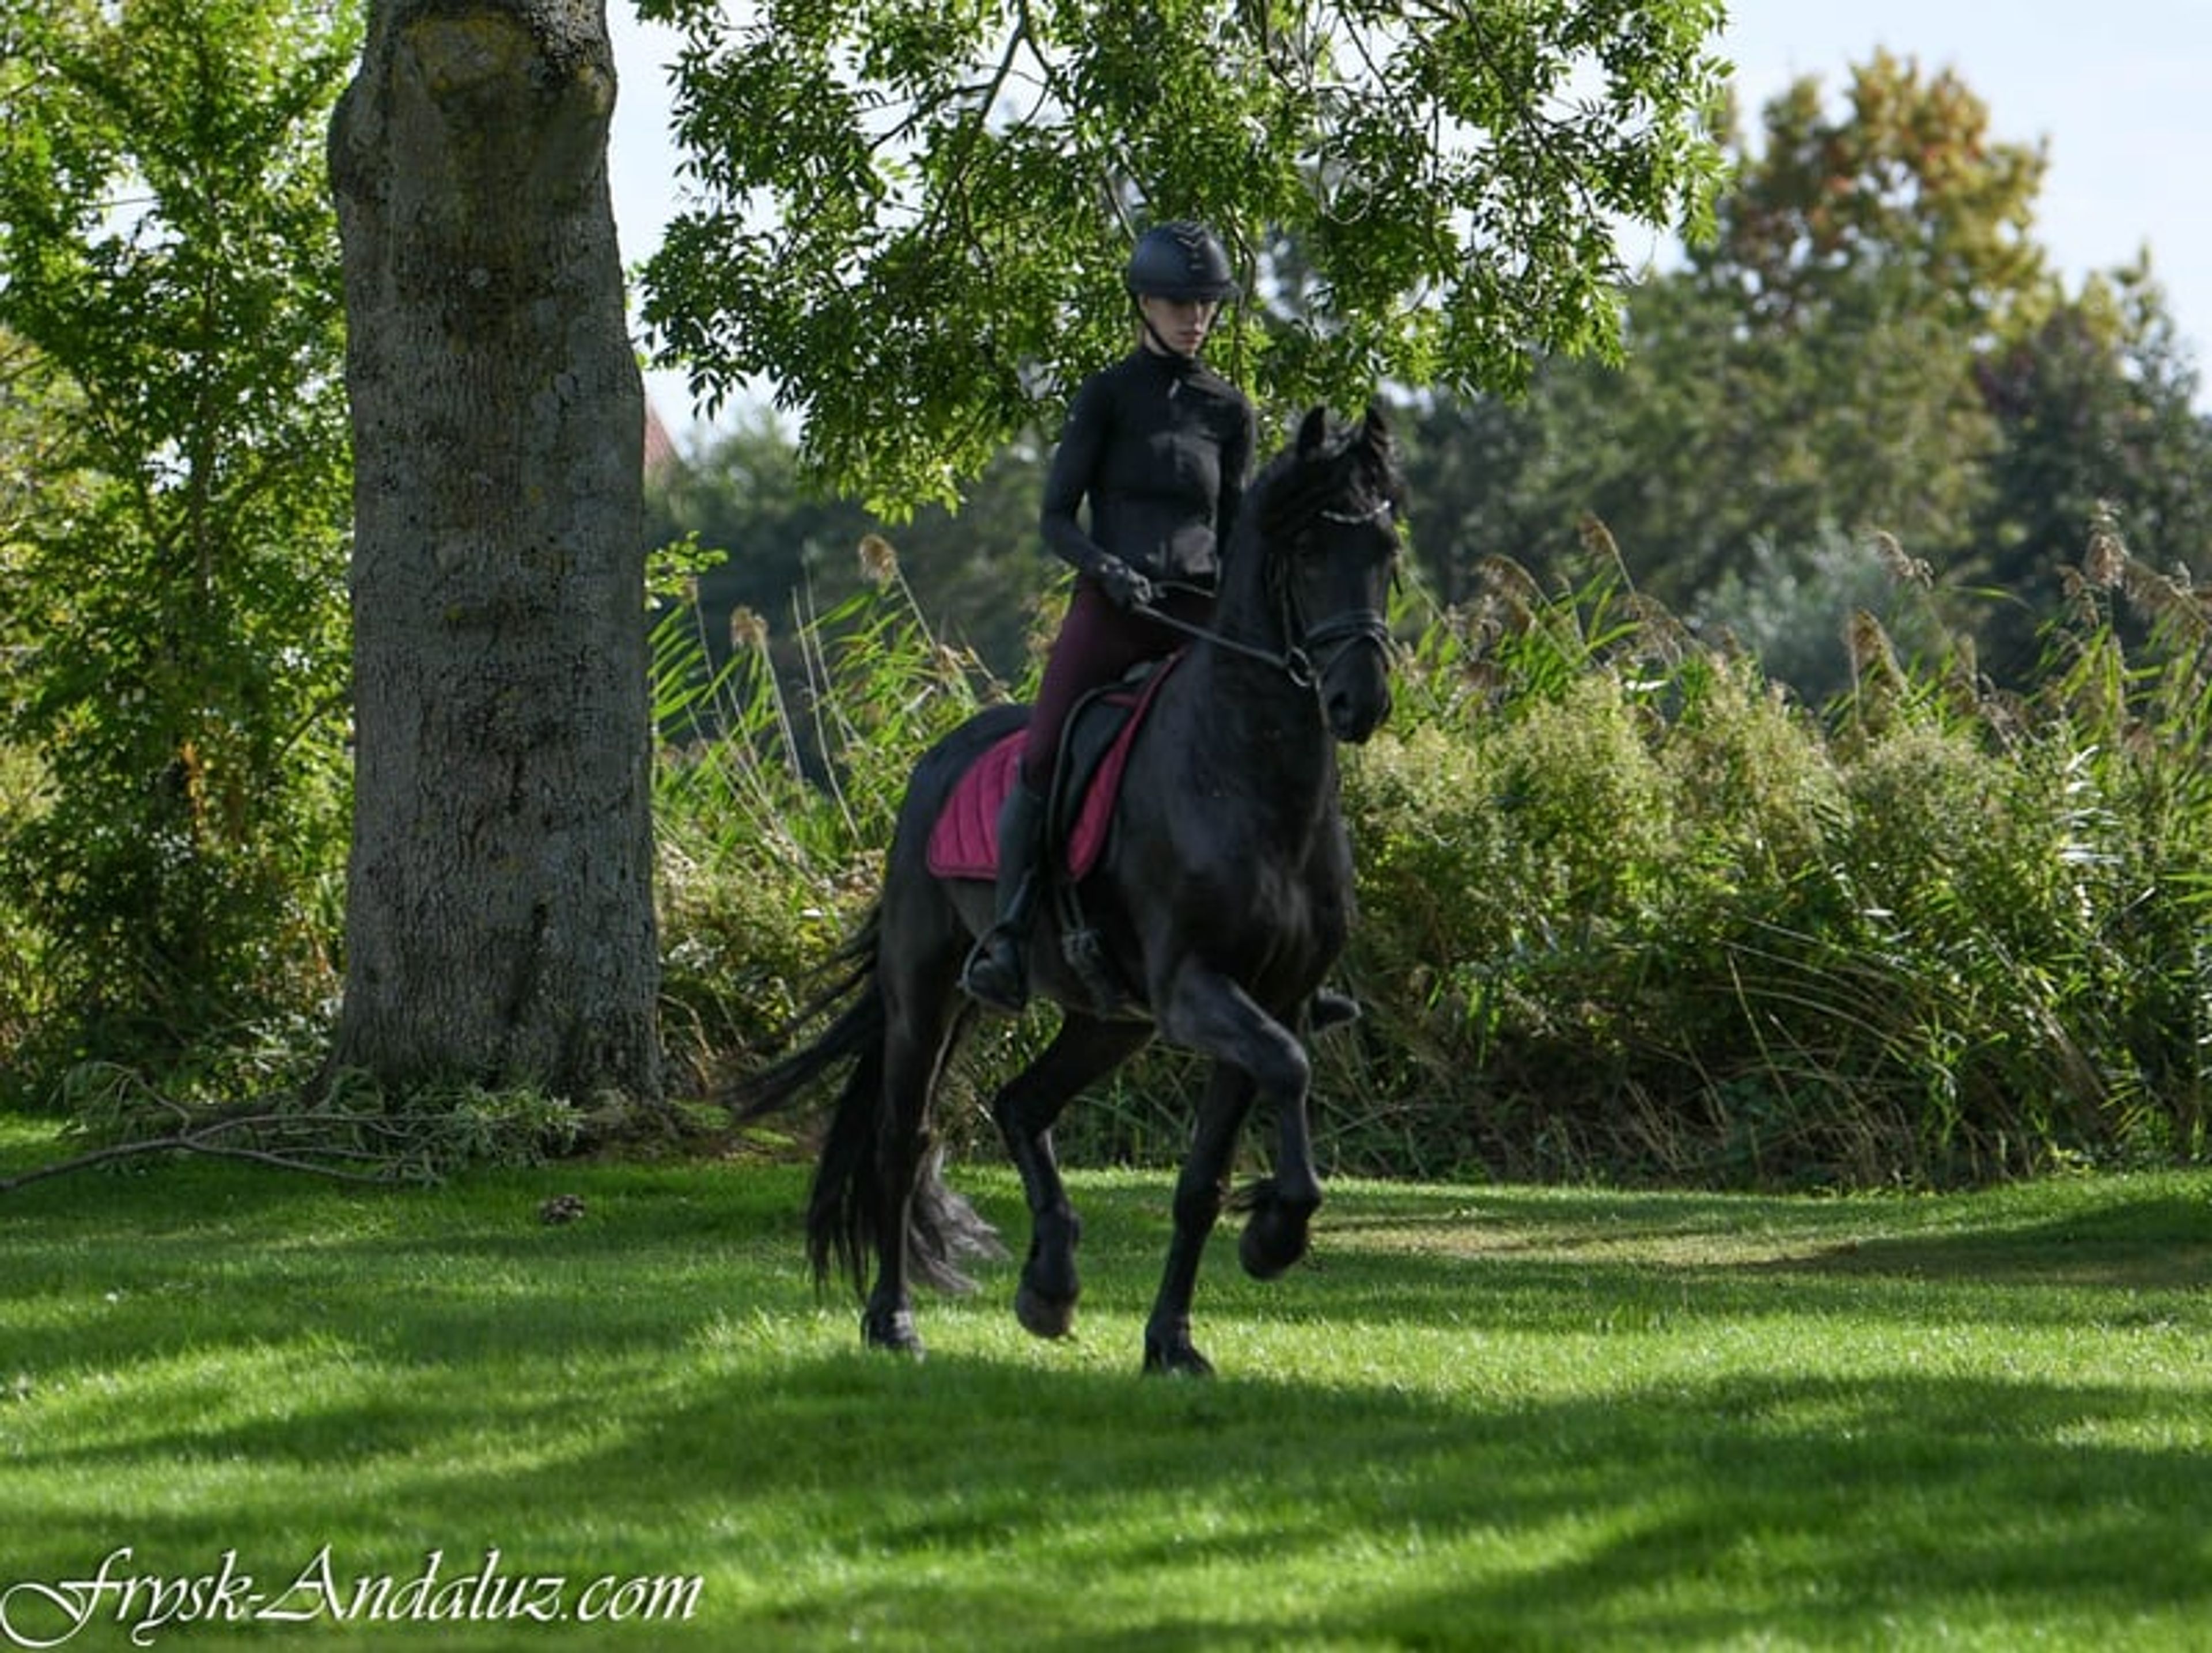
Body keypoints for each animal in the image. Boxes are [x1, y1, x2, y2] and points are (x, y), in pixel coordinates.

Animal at [735, 404, 1405, 1375]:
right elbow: (1290, 1063)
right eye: (1311, 549)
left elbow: (1204, 1177)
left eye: (1386, 549)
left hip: (1109, 1019)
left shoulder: (1269, 995)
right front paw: (1274, 1237)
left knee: (1022, 1102)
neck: (1248, 779)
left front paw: (1174, 1339)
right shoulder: (1196, 989)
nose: (1361, 702)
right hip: (927, 990)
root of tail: (938, 760)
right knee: (904, 1140)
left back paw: (1049, 1282)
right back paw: (894, 1319)